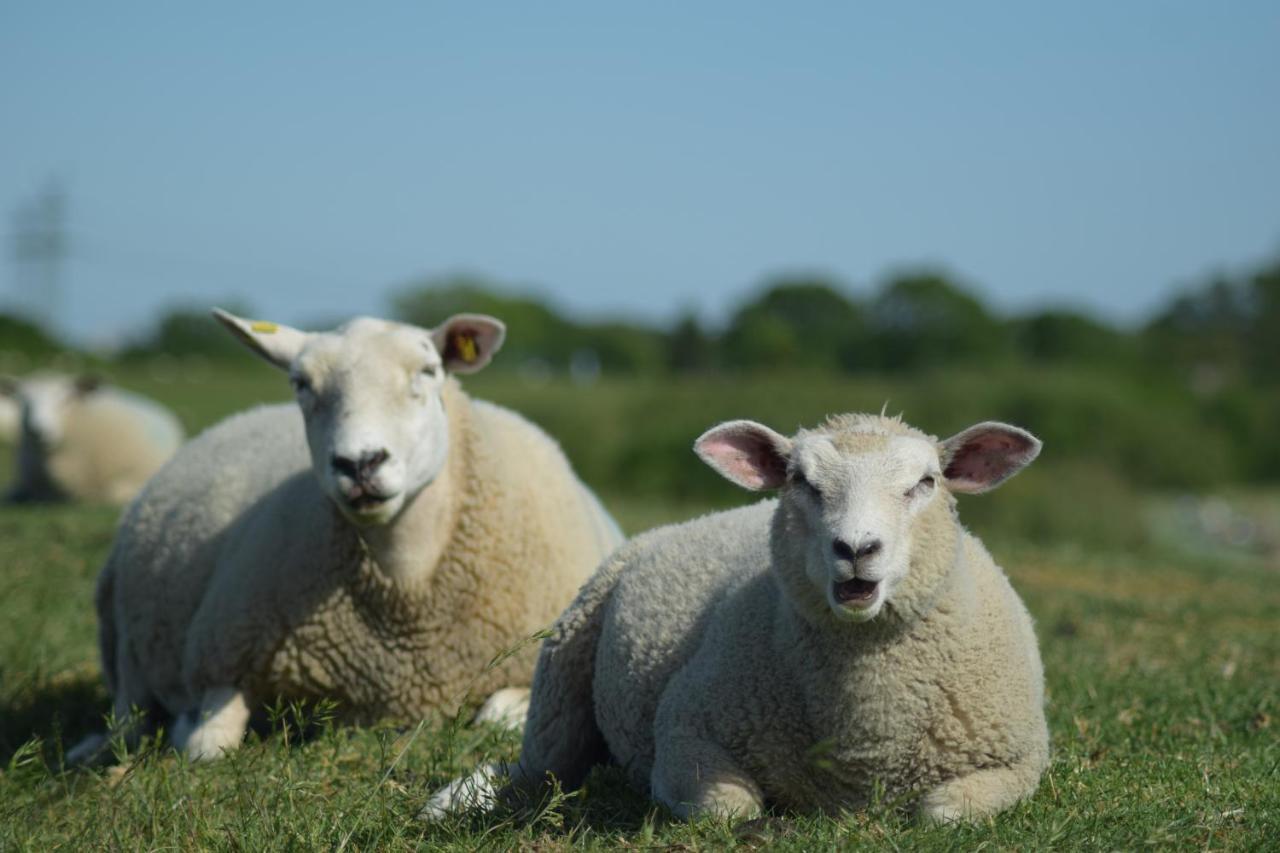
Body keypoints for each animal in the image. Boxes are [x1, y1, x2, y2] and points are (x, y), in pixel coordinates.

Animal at [68, 308, 619, 758]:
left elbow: (497, 717)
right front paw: (191, 731)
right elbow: (206, 748)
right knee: (128, 722)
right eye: (300, 382)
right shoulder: (222, 657)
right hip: (124, 649)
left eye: (428, 371)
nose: (360, 463)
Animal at [424, 409, 1044, 819]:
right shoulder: (684, 726)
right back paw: (452, 800)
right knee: (536, 771)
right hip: (562, 671)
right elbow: (730, 809)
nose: (856, 549)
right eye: (801, 481)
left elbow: (942, 811)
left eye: (926, 482)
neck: (865, 741)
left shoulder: (1022, 758)